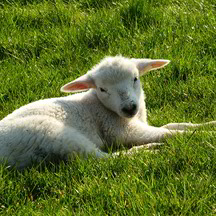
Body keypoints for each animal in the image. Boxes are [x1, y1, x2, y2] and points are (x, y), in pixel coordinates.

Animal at [0, 55, 215, 169]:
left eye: (135, 78)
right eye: (102, 89)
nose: (129, 108)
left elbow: (175, 125)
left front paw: (208, 125)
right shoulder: (120, 130)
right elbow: (169, 133)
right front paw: (207, 135)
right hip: (51, 134)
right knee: (101, 159)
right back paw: (146, 150)